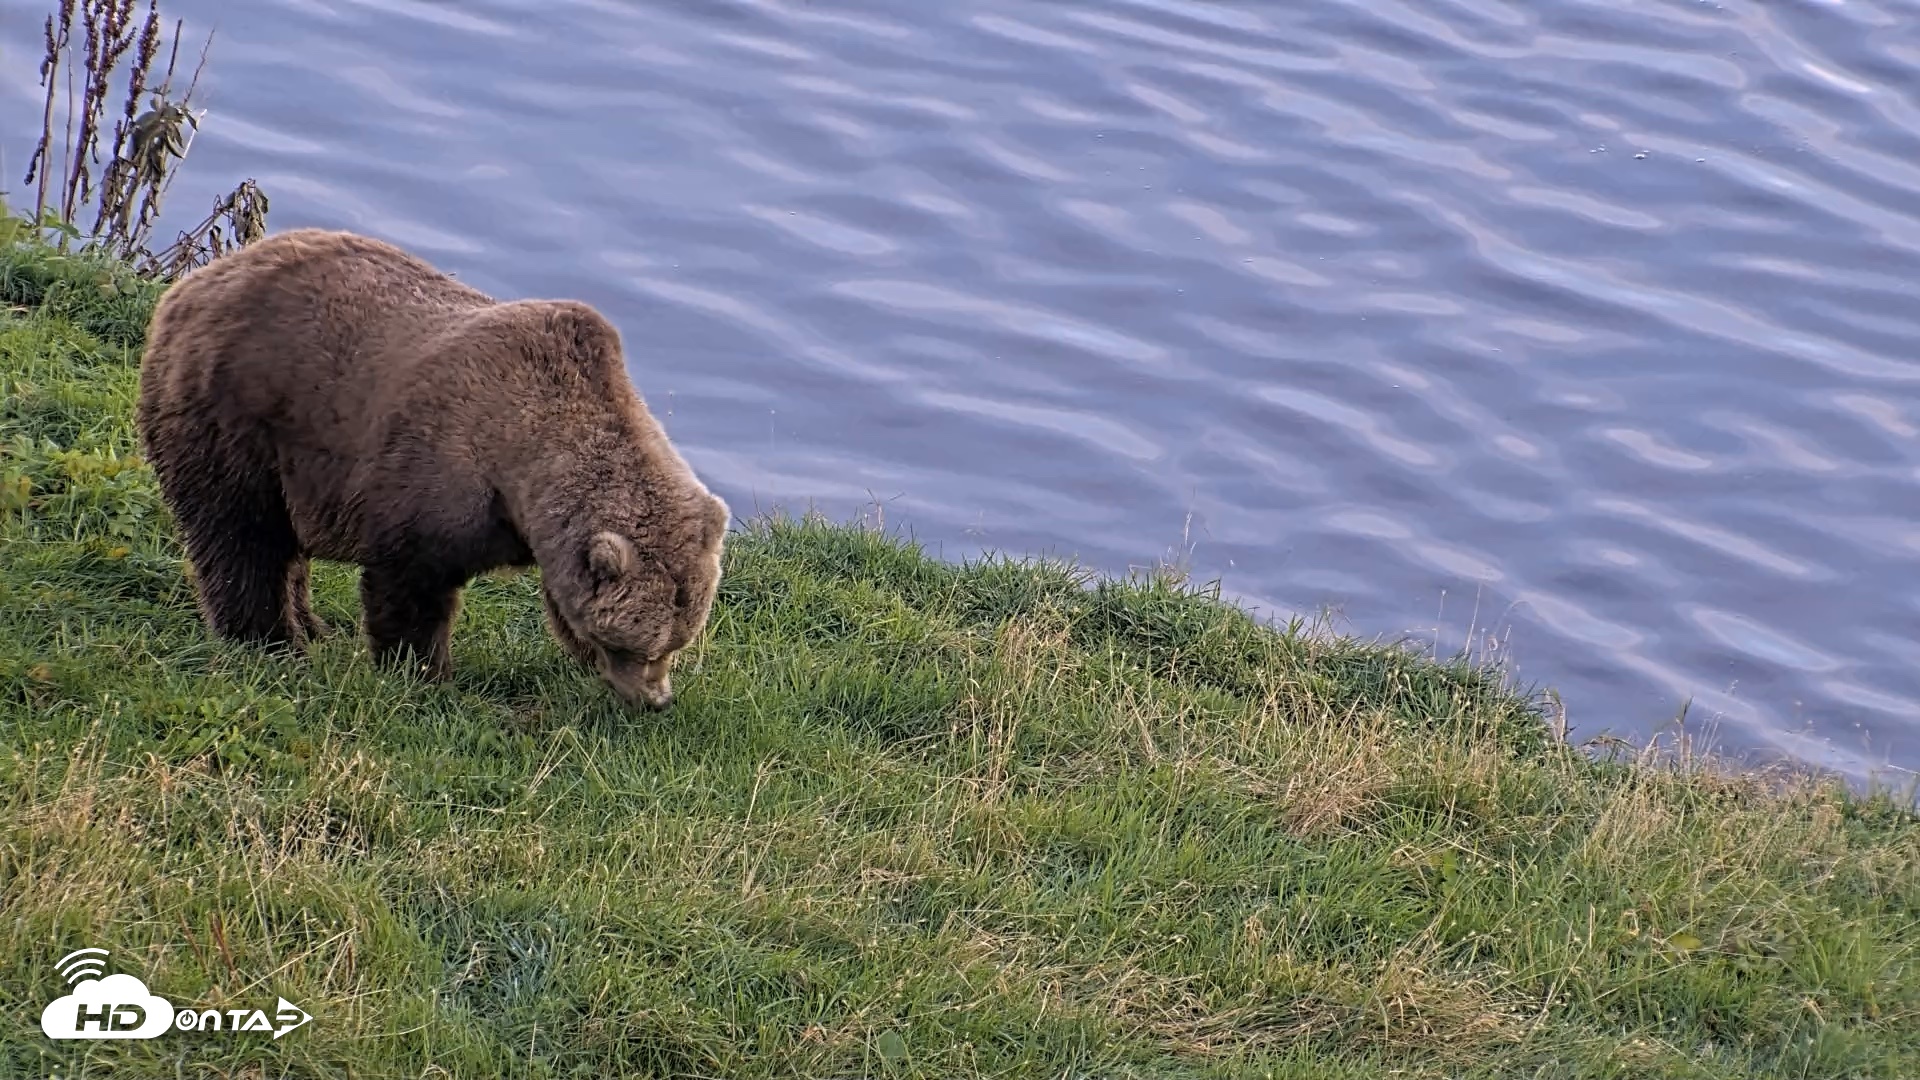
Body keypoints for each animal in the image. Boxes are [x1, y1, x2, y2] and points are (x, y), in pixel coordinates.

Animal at [134, 227, 730, 711]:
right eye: (637, 645)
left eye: (680, 640)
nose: (656, 699)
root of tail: (191, 286)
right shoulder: (434, 476)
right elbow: (412, 587)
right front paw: (424, 674)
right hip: (234, 416)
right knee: (241, 537)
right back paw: (269, 641)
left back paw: (311, 626)